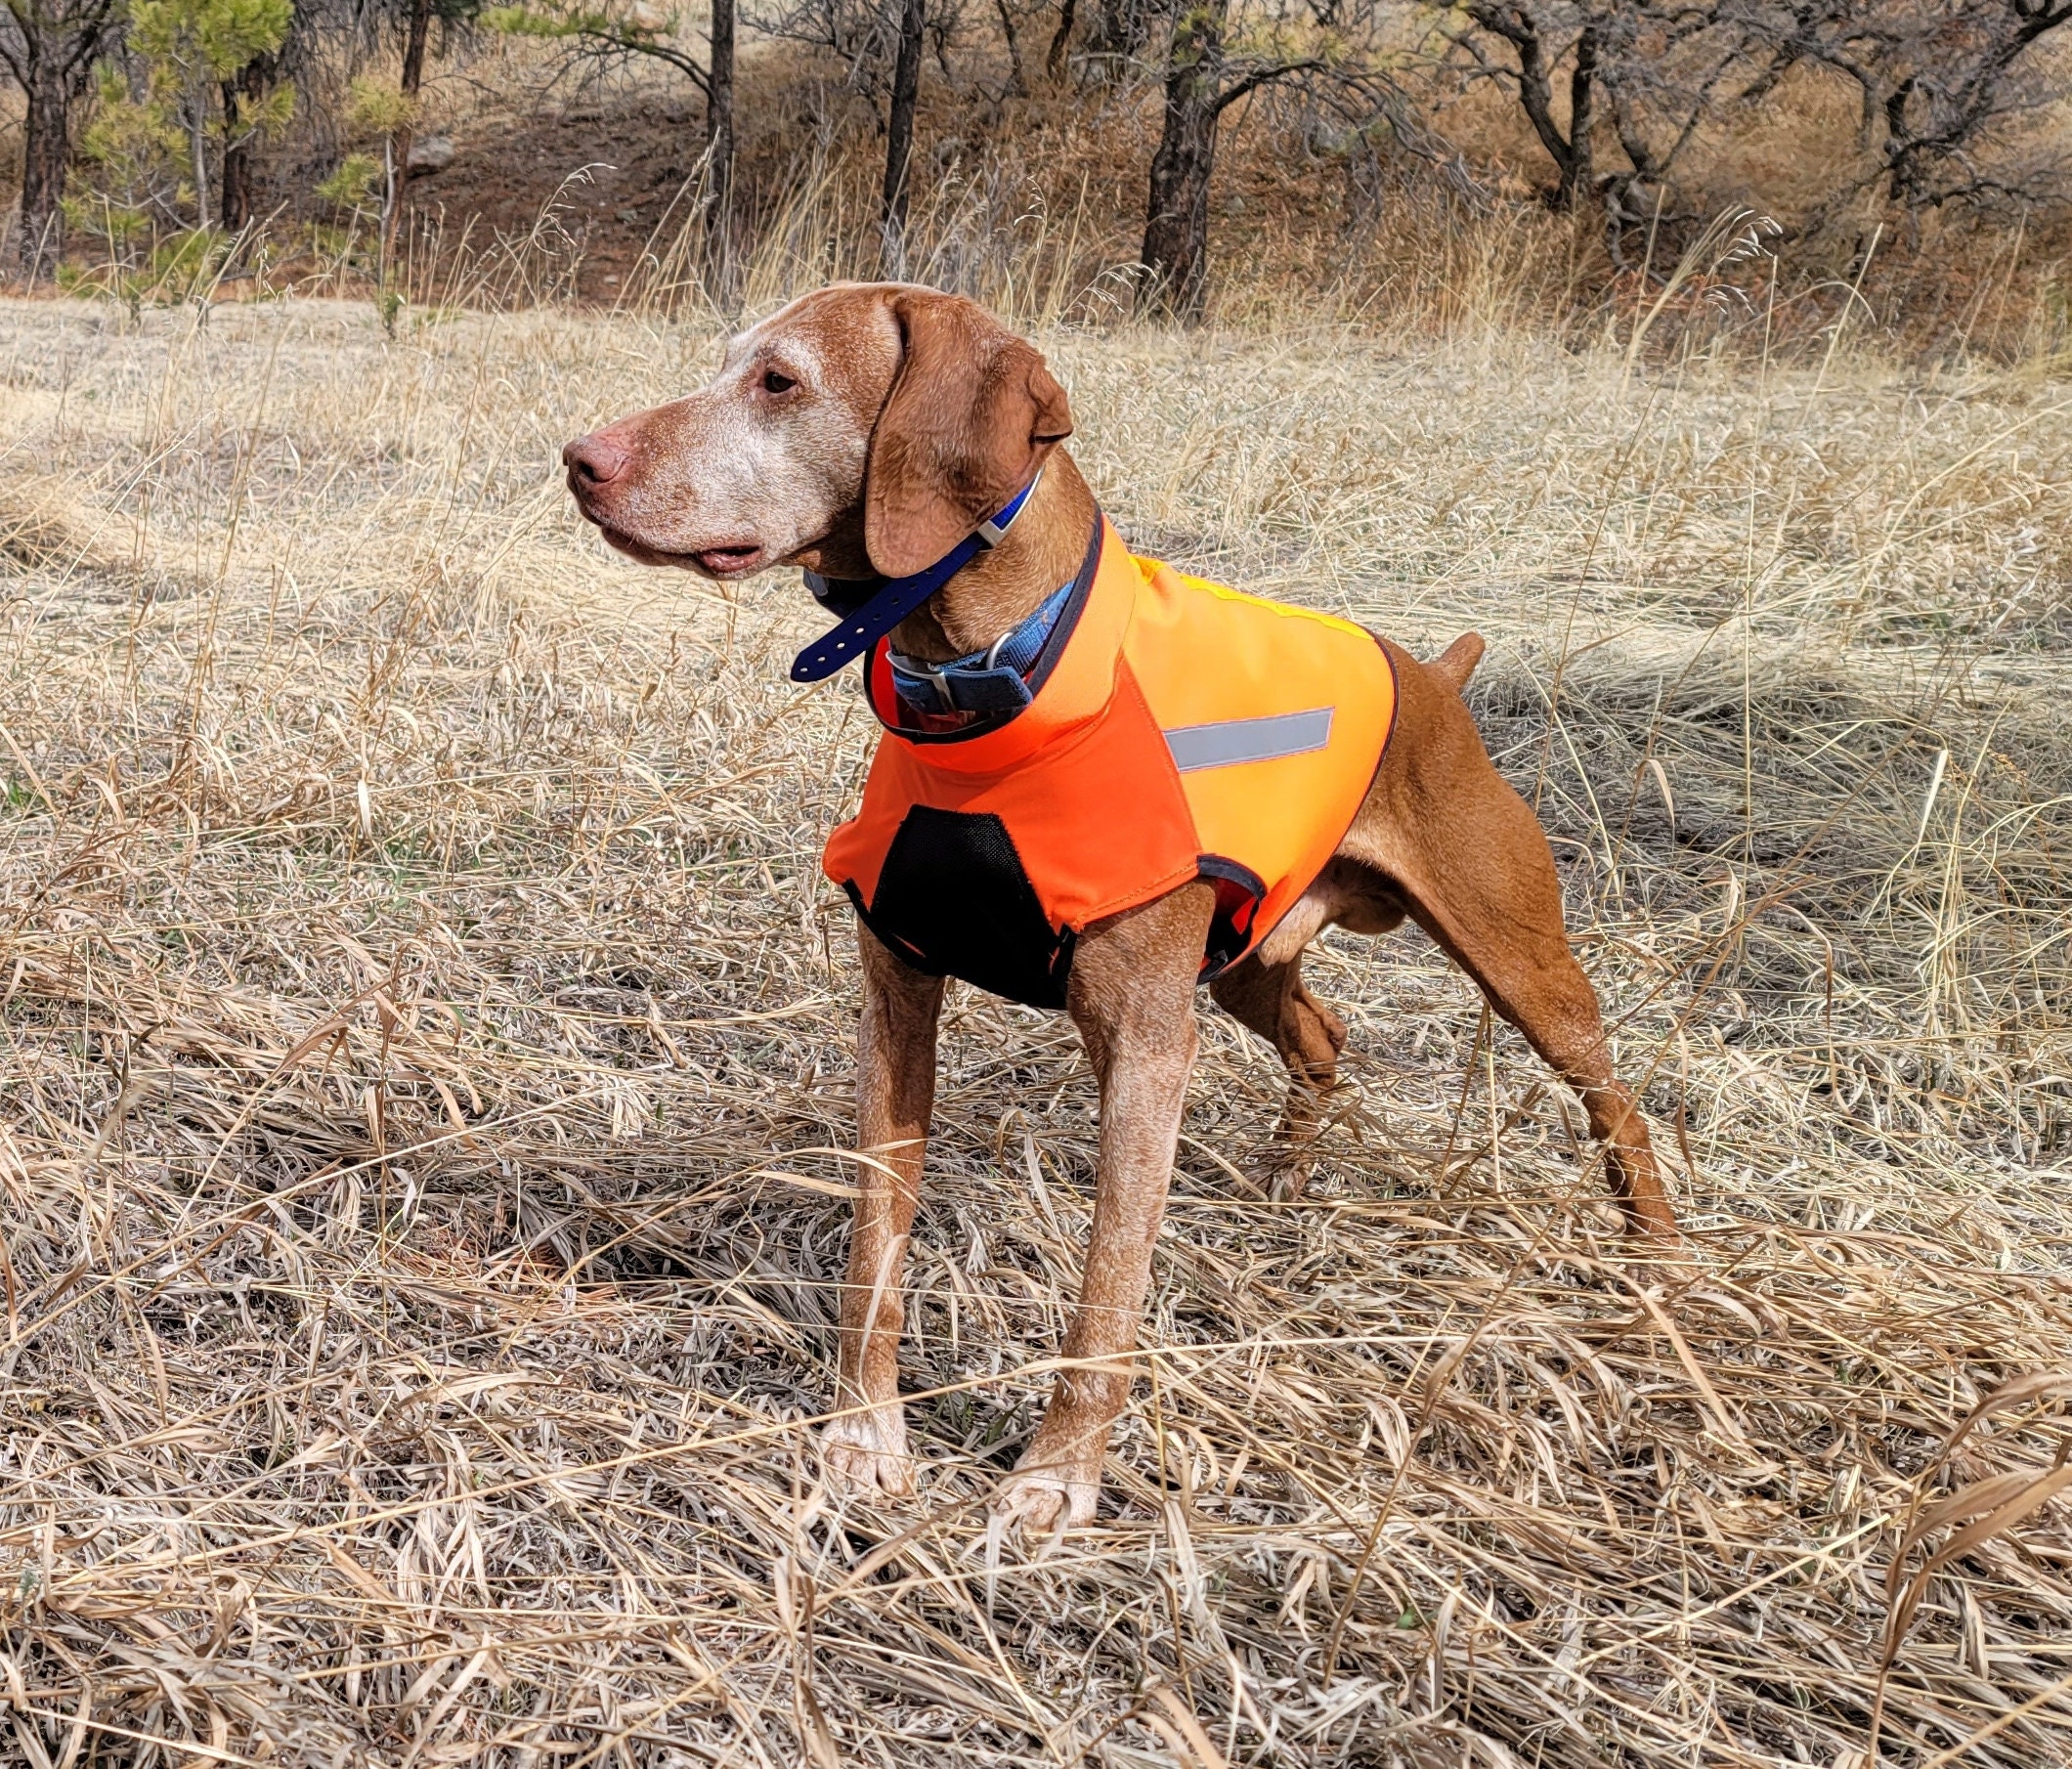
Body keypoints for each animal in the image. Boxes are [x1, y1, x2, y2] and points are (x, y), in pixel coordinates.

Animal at [567, 283, 1682, 1532]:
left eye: (780, 382)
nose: (579, 460)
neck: (994, 689)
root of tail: (1434, 677)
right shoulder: (897, 1003)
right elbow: (873, 1248)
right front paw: (861, 1435)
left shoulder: (1146, 1041)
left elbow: (1108, 1281)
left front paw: (1056, 1477)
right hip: (1248, 962)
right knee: (1323, 1035)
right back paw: (1286, 1180)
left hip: (1515, 958)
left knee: (1615, 1102)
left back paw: (1661, 1269)